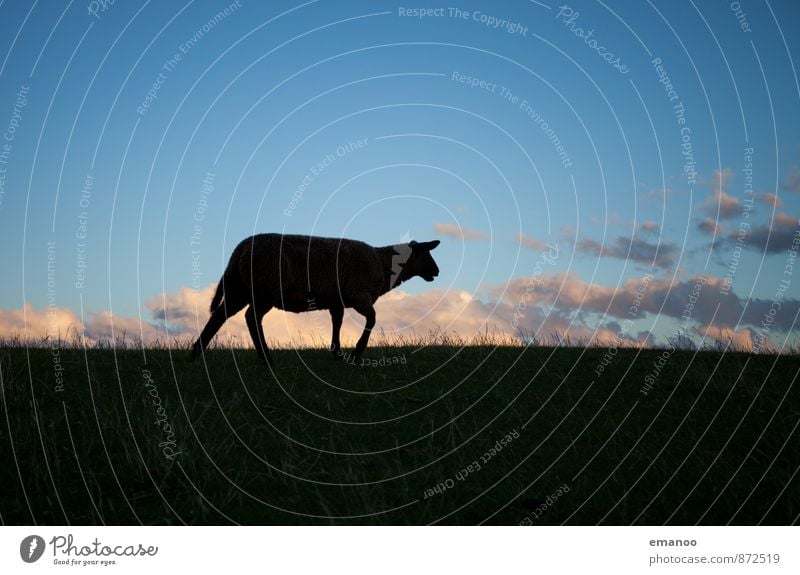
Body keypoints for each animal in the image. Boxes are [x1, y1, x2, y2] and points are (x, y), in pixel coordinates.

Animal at [190, 234, 440, 364]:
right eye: (427, 254)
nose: (437, 272)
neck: (383, 262)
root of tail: (242, 246)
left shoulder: (337, 301)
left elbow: (337, 323)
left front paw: (337, 353)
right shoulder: (359, 295)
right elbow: (372, 320)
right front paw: (357, 352)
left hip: (239, 288)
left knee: (219, 316)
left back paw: (195, 354)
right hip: (266, 288)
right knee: (251, 317)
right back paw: (266, 357)